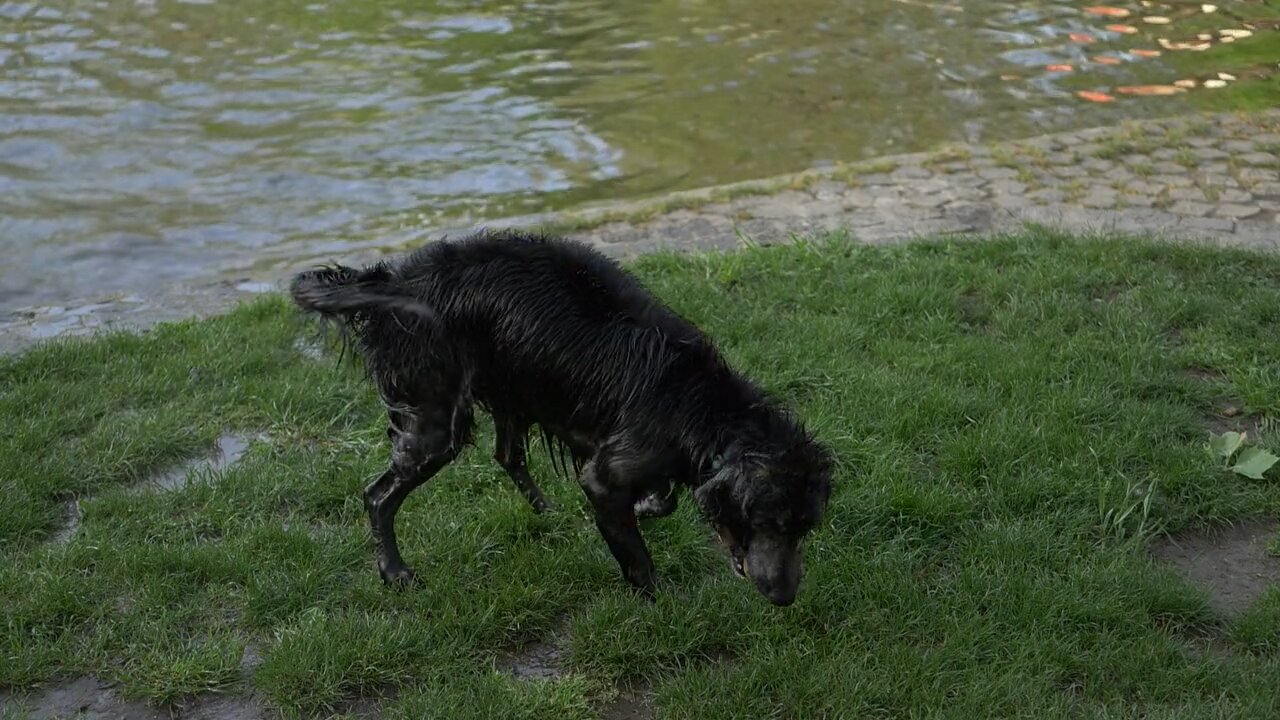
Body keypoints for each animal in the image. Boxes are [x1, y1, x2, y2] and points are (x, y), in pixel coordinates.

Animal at [290, 228, 834, 599]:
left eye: (805, 527)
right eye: (766, 521)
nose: (785, 597)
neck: (696, 405)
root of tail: (394, 279)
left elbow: (665, 499)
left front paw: (649, 505)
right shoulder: (605, 476)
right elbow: (637, 555)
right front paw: (658, 602)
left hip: (514, 387)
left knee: (506, 453)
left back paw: (546, 510)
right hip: (436, 422)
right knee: (378, 495)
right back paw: (395, 572)